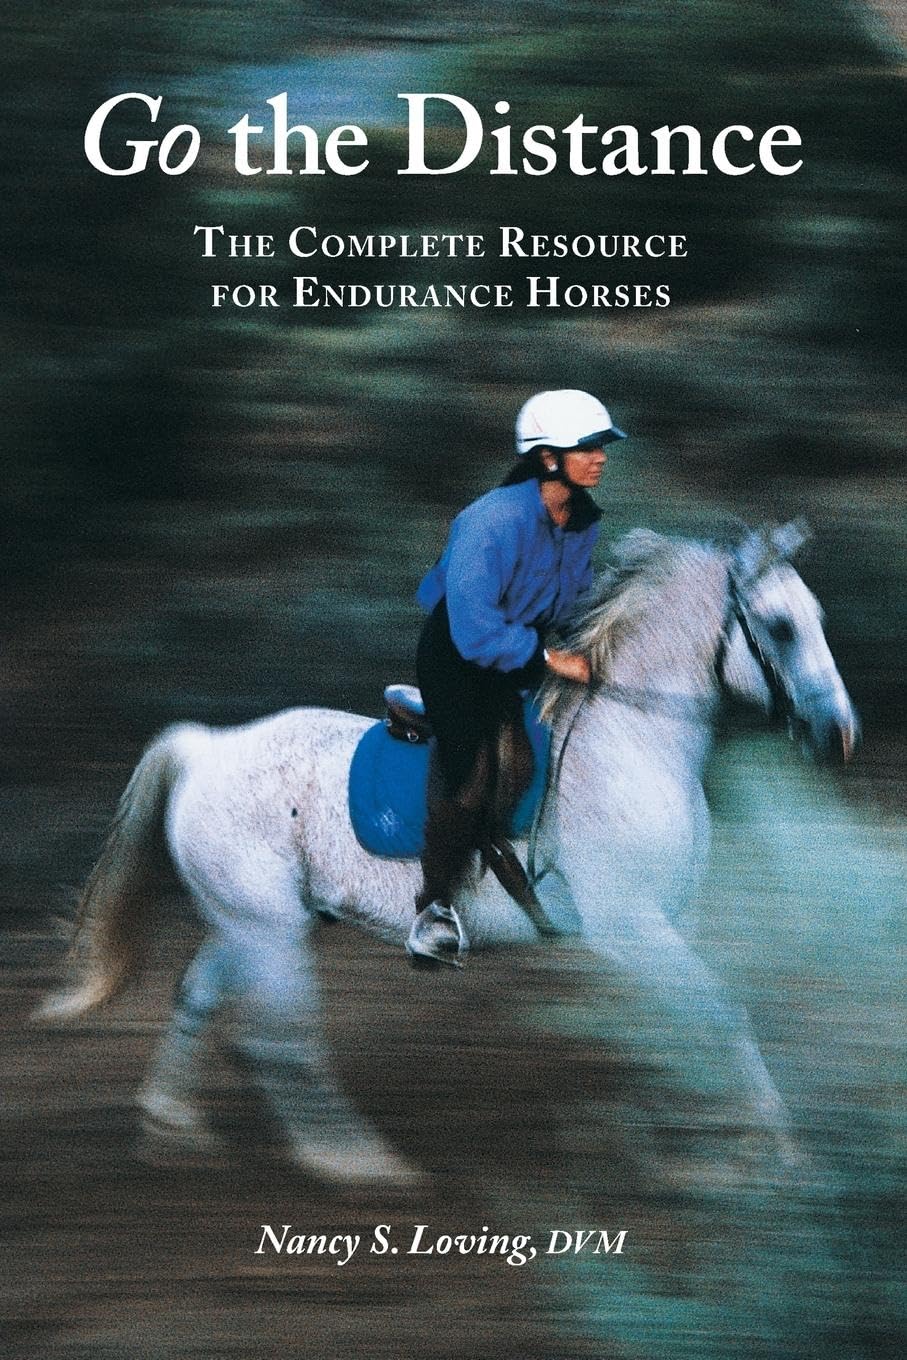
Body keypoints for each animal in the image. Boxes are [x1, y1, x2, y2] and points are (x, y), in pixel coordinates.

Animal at [38, 521, 858, 1185]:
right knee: (282, 1040)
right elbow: (720, 1012)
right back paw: (353, 1159)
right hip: (269, 930)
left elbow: (684, 1025)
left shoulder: (658, 928)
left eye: (817, 619)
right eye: (781, 627)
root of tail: (206, 748)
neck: (630, 739)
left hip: (249, 921)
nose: (839, 735)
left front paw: (688, 1135)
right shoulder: (630, 929)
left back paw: (170, 1124)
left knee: (197, 998)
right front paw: (765, 1148)